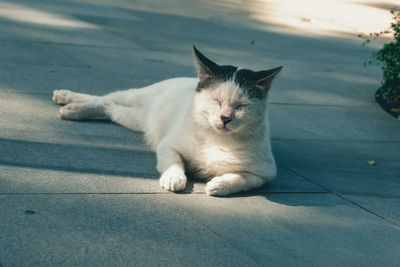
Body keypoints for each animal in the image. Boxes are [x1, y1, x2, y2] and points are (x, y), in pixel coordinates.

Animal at [53, 46, 282, 197]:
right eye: (217, 101)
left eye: (240, 106)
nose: (225, 118)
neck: (216, 139)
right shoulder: (168, 146)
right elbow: (174, 162)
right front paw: (174, 178)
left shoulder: (265, 173)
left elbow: (241, 178)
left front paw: (219, 184)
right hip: (135, 96)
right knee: (105, 97)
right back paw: (67, 100)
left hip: (132, 118)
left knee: (109, 107)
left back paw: (72, 108)